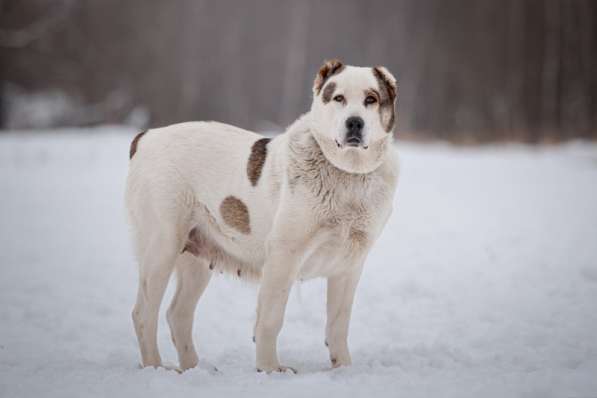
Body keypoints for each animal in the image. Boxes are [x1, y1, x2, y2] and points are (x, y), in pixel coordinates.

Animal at [124, 59, 398, 374]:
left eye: (371, 99)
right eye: (338, 98)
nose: (354, 122)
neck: (347, 174)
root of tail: (146, 137)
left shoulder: (348, 266)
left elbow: (338, 324)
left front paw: (343, 369)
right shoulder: (283, 256)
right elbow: (270, 319)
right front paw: (270, 369)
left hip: (196, 259)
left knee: (177, 314)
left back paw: (193, 369)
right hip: (162, 246)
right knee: (144, 313)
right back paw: (156, 368)